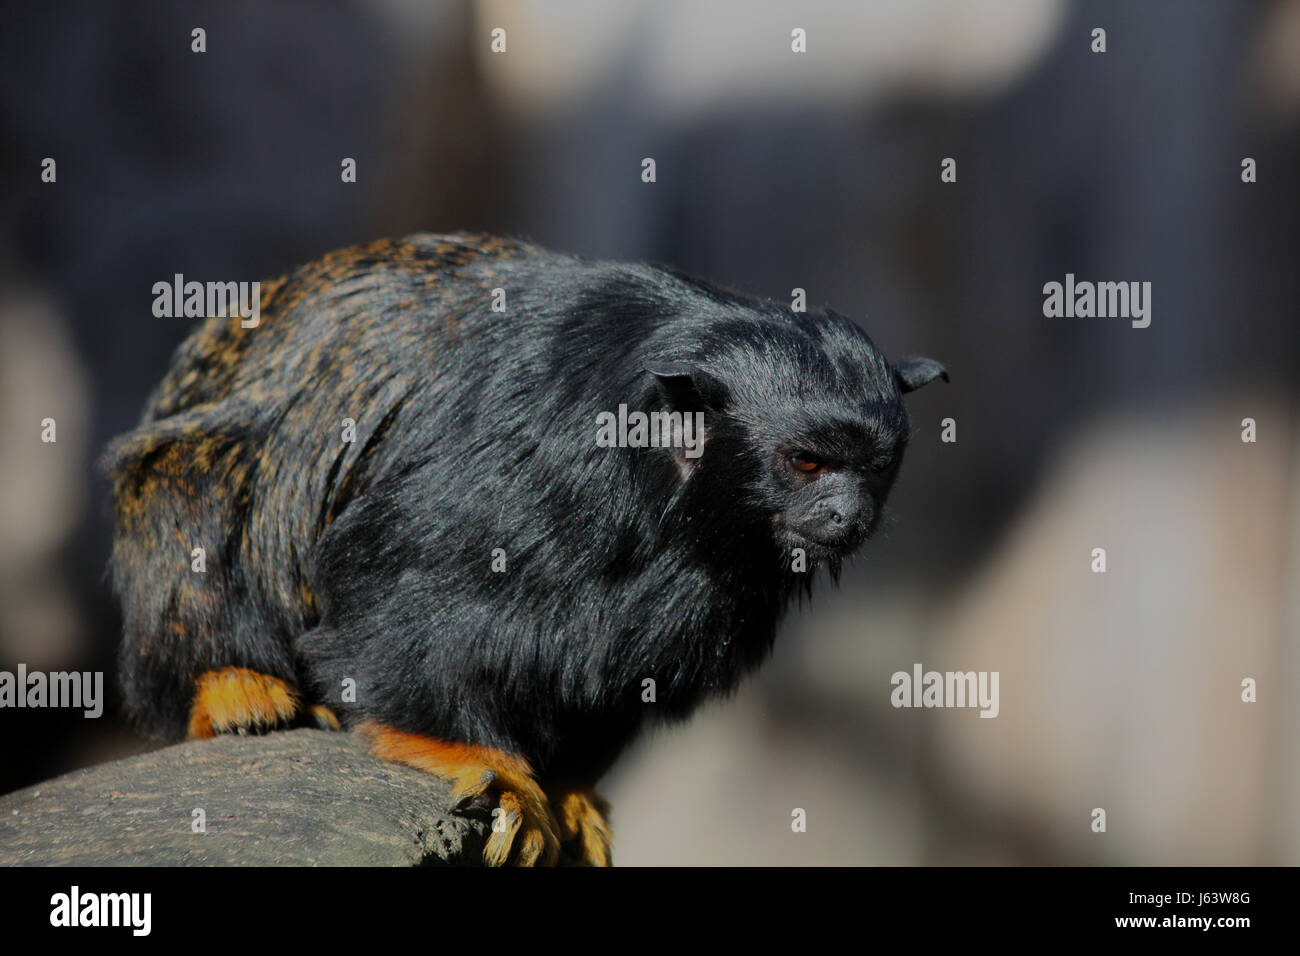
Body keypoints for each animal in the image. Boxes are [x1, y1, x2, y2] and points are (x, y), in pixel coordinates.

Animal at [101, 233, 947, 866]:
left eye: (874, 467)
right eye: (805, 463)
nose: (846, 513)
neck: (666, 472)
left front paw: (566, 783)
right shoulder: (533, 453)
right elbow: (394, 577)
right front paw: (471, 753)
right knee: (200, 476)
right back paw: (227, 681)